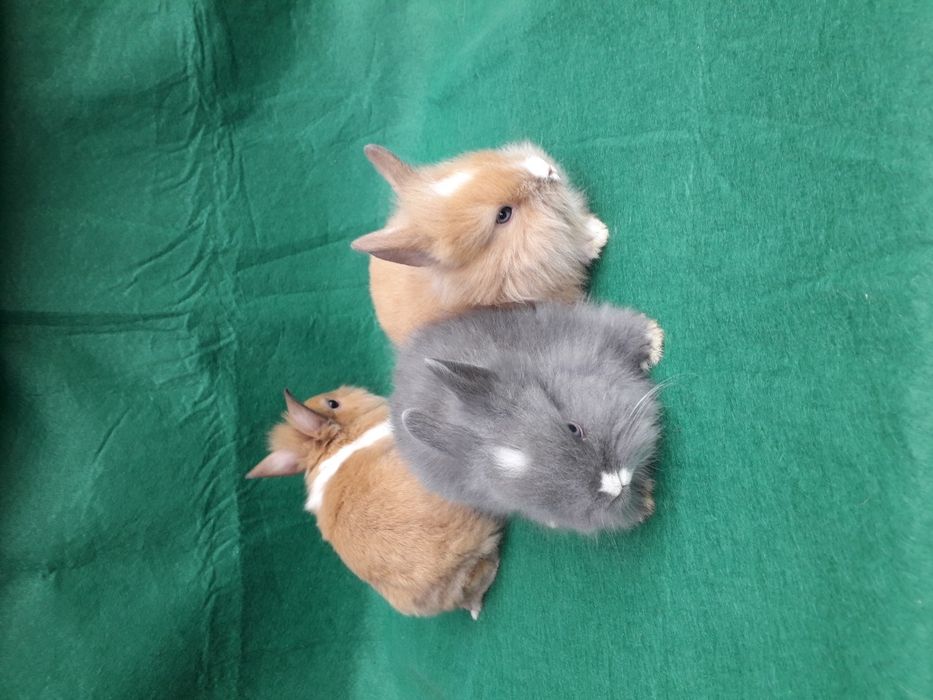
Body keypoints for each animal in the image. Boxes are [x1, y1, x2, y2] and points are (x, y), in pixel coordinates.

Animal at [390, 302, 665, 534]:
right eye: (551, 490)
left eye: (573, 428)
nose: (613, 485)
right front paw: (644, 504)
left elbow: (616, 329)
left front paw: (652, 340)